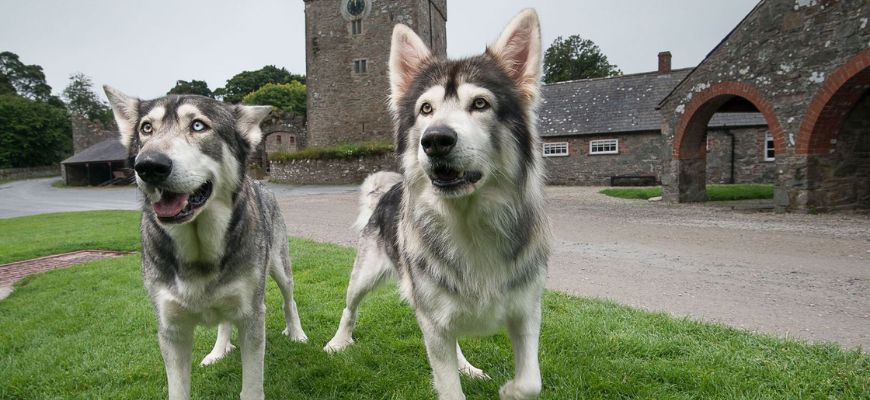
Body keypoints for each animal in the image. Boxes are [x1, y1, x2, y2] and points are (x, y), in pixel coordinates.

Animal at [104, 88, 308, 400]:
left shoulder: (252, 317)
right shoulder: (172, 329)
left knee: (289, 300)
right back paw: (218, 350)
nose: (149, 165)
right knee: (224, 321)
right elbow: (178, 390)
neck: (199, 251)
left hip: (280, 270)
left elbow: (251, 387)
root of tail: (261, 183)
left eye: (198, 125)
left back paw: (297, 334)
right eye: (146, 128)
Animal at [324, 9, 556, 400]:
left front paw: (509, 390)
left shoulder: (526, 311)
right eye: (425, 109)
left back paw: (467, 366)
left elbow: (530, 381)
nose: (435, 140)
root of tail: (388, 191)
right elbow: (450, 387)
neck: (469, 223)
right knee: (348, 308)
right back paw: (338, 342)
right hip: (364, 276)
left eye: (480, 103)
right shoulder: (432, 321)